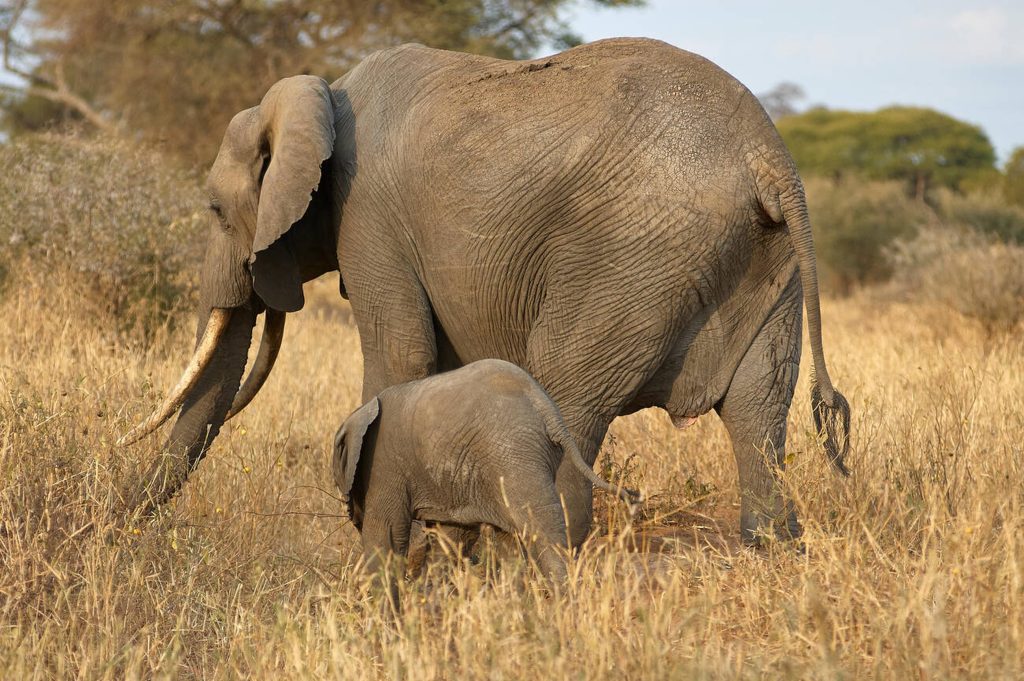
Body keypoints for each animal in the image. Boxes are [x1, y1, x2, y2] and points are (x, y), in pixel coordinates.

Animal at [119, 37, 850, 547]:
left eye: (215, 211)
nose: (114, 528)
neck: (321, 95)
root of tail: (767, 156)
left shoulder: (369, 218)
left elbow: (403, 358)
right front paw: (442, 544)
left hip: (634, 261)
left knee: (569, 399)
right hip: (767, 267)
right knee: (758, 417)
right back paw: (769, 551)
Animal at [333, 358, 641, 611]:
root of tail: (549, 411)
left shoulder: (383, 466)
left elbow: (386, 534)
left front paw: (387, 617)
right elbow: (449, 537)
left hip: (515, 456)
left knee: (538, 528)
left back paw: (565, 605)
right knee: (513, 539)